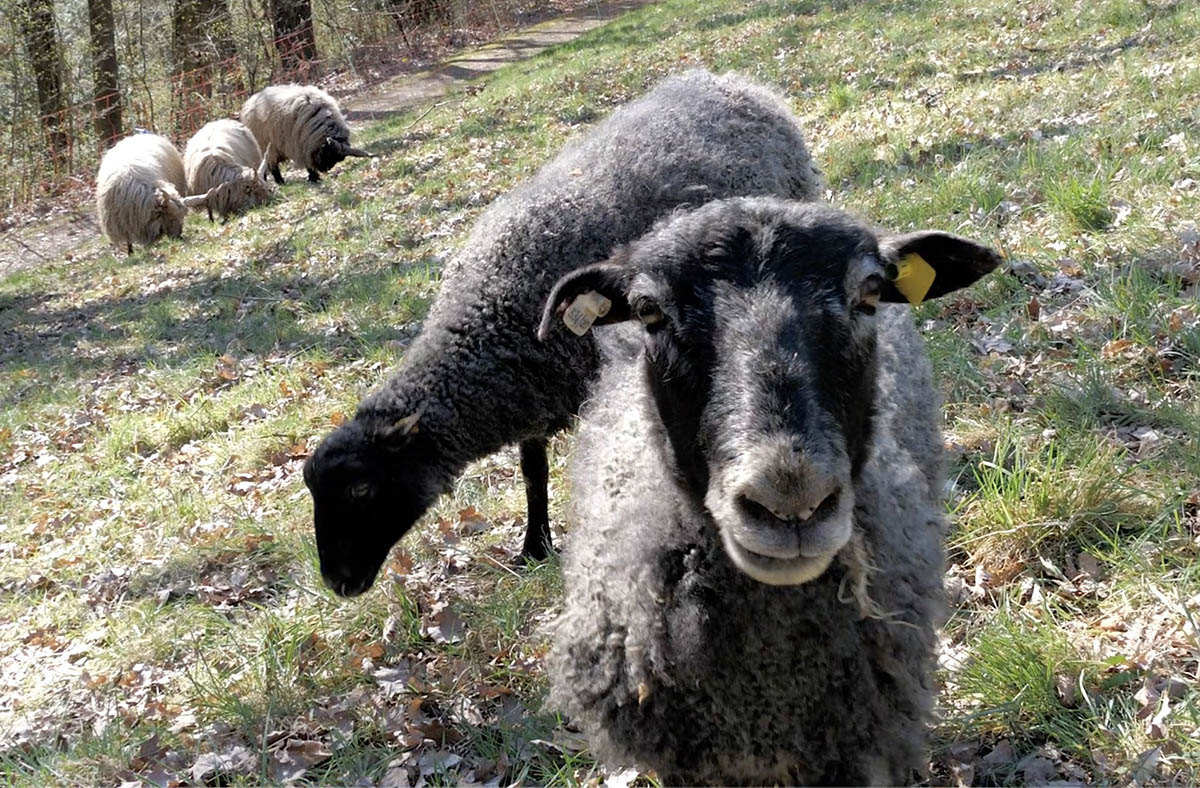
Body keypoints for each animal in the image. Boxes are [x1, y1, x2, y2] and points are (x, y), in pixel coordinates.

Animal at [241, 83, 372, 183]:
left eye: (337, 159)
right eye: (328, 154)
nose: (325, 170)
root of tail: (252, 99)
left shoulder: (307, 144)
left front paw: (314, 176)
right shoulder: (301, 145)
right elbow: (307, 161)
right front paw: (313, 177)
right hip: (266, 146)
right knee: (270, 164)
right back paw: (279, 181)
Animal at [302, 69, 825, 597]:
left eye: (362, 488)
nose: (337, 583)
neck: (492, 319)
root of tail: (736, 83)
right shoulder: (533, 393)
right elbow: (533, 473)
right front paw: (535, 544)